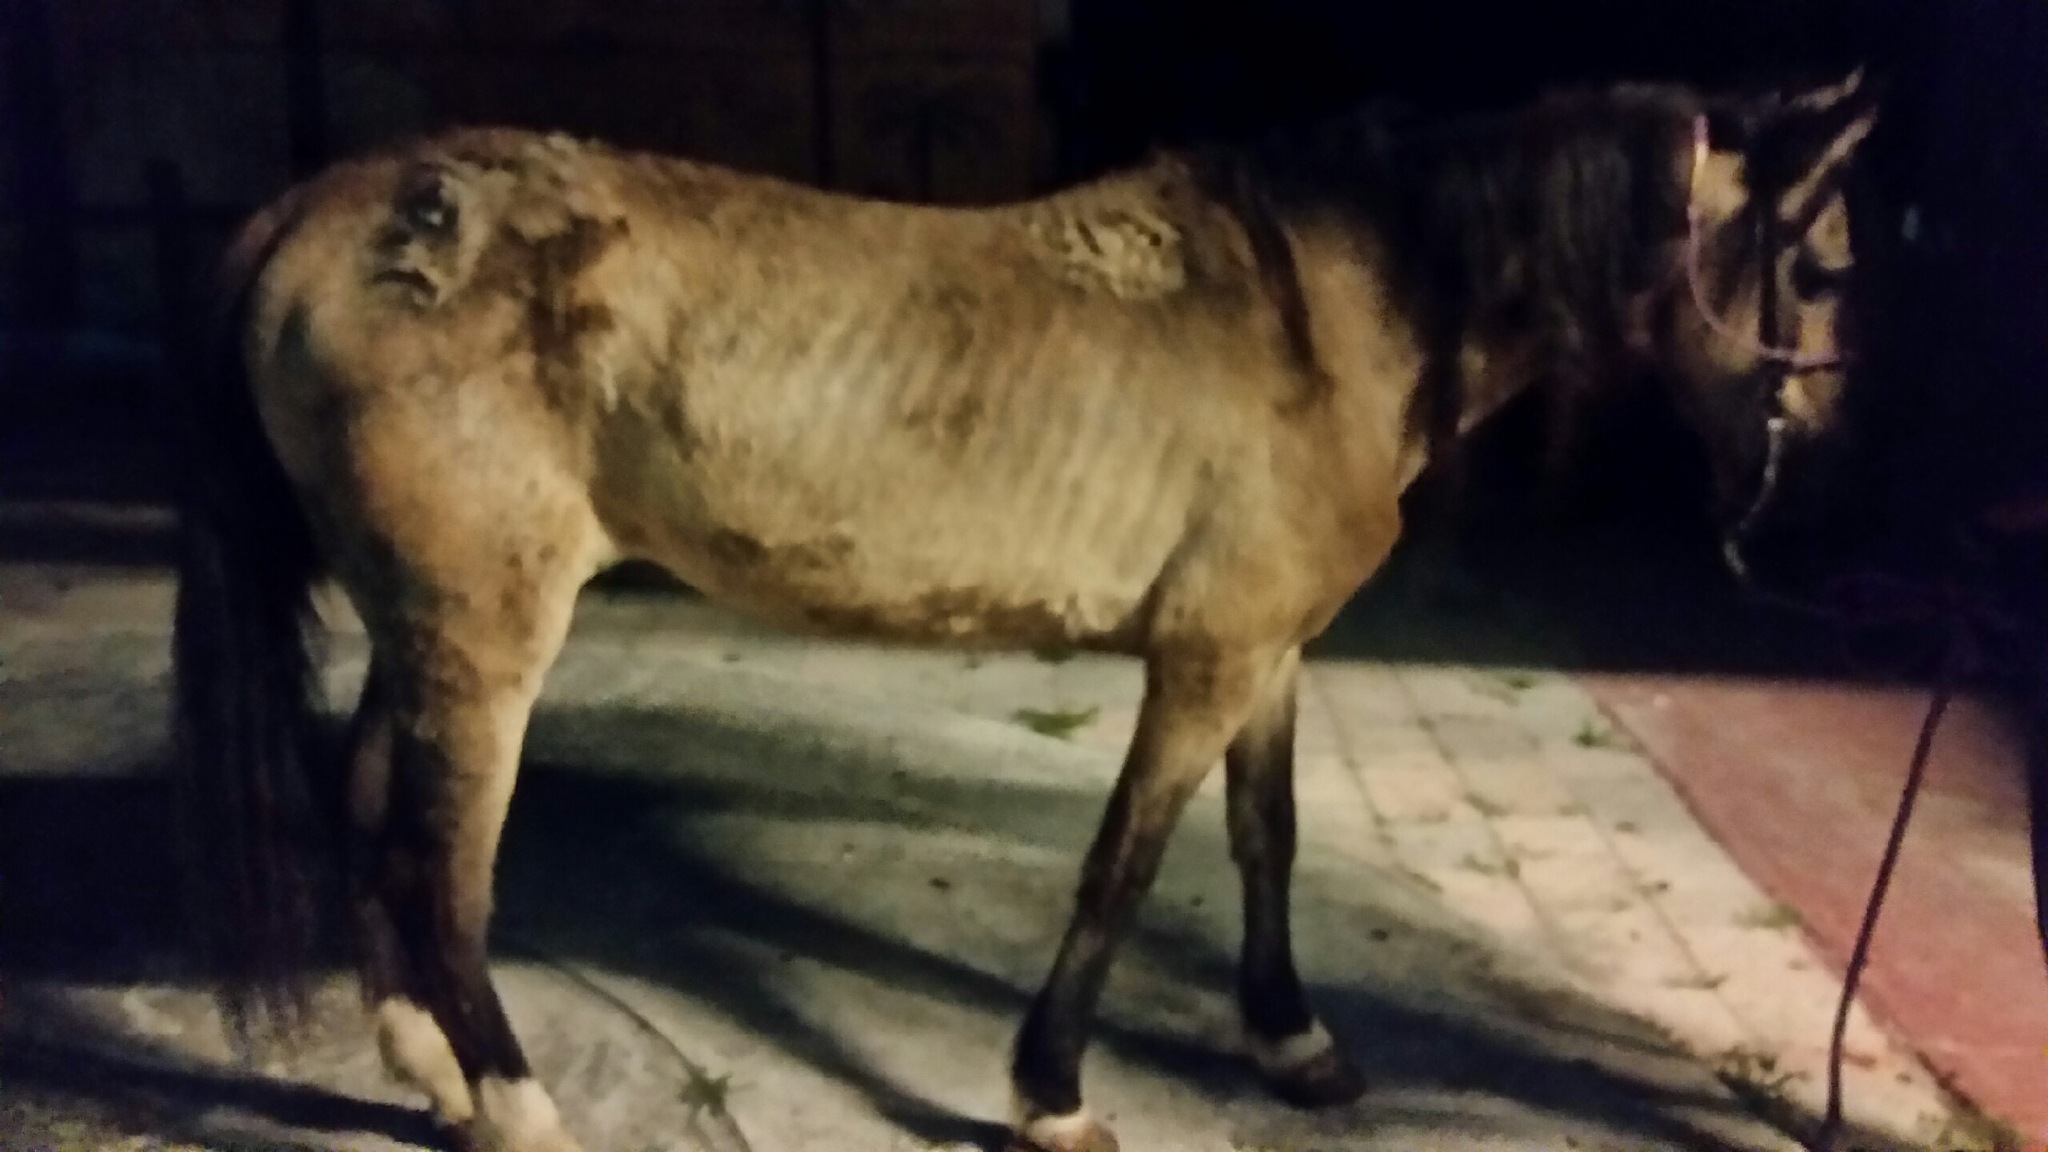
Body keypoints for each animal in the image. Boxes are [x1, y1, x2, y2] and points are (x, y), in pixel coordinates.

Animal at [180, 71, 1884, 1147]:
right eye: (1818, 268)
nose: (1819, 490)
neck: (1333, 311)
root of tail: (309, 214)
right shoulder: (1202, 662)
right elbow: (1121, 871)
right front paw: (1052, 1095)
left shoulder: (1269, 653)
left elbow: (1266, 840)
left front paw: (1293, 1043)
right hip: (488, 639)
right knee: (442, 868)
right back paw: (518, 1107)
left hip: (425, 629)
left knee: (366, 806)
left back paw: (428, 1071)